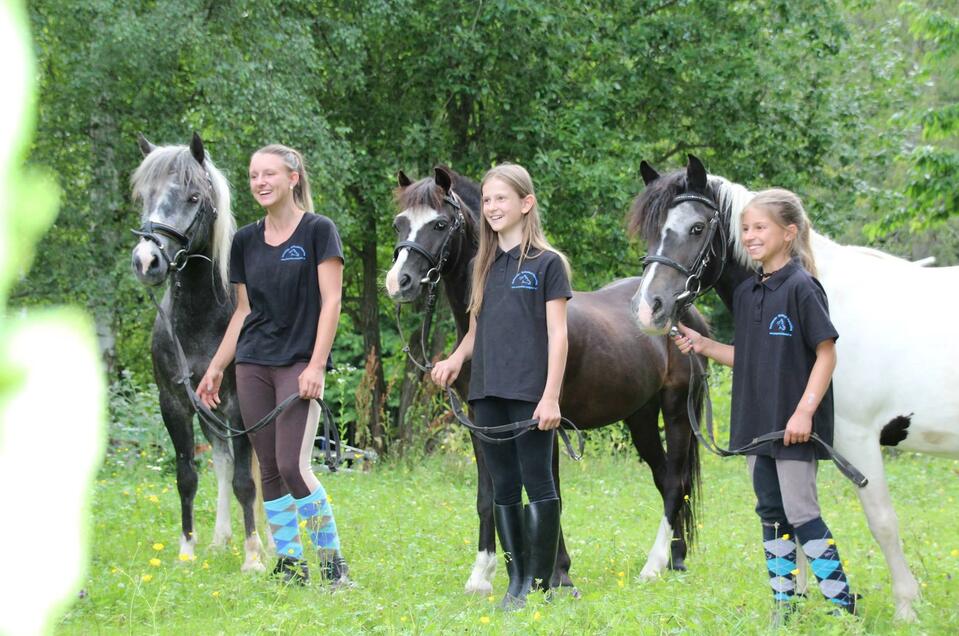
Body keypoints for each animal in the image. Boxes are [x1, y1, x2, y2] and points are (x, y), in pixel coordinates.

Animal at [129, 133, 262, 572]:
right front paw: (187, 549)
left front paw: (253, 557)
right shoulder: (175, 403)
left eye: (192, 197)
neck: (203, 320)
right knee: (221, 461)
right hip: (208, 412)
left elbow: (245, 481)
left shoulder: (240, 407)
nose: (146, 261)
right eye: (144, 195)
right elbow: (188, 476)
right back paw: (221, 539)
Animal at [386, 166, 708, 592]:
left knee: (675, 483)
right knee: (666, 477)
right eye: (399, 223)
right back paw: (676, 558)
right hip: (639, 417)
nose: (399, 282)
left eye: (439, 224)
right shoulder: (482, 424)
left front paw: (558, 575)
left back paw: (655, 566)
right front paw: (482, 574)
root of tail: (685, 312)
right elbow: (488, 495)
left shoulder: (544, 424)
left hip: (675, 412)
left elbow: (548, 491)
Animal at [632, 155, 959, 620]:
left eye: (696, 227)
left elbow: (881, 521)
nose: (648, 309)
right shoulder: (800, 437)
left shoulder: (857, 441)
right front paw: (800, 600)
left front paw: (906, 608)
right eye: (651, 230)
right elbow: (795, 520)